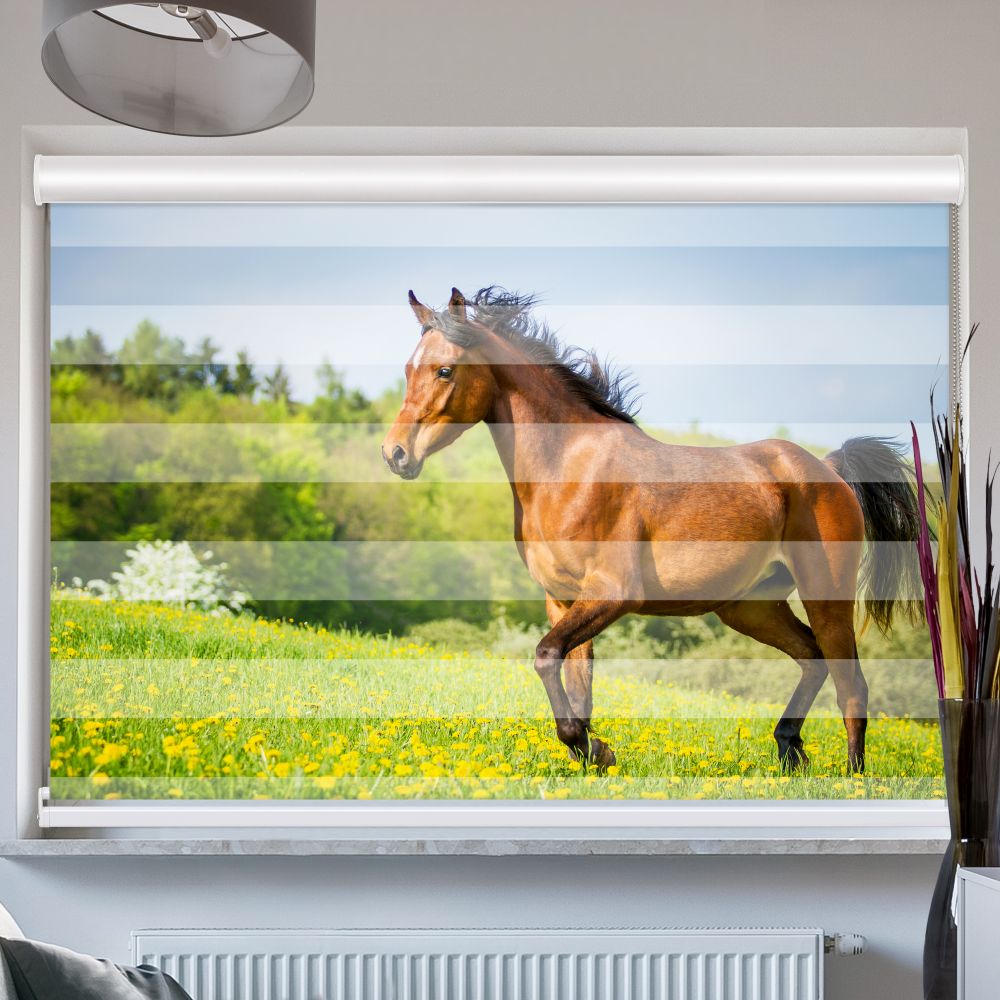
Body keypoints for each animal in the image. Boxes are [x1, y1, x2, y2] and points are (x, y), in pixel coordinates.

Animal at [381, 286, 922, 774]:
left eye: (445, 369)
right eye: (407, 369)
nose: (395, 454)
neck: (568, 468)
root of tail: (828, 470)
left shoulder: (612, 593)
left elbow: (545, 656)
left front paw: (594, 749)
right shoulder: (563, 599)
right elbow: (575, 684)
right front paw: (594, 755)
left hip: (825, 596)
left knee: (852, 686)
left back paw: (851, 776)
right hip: (751, 607)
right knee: (812, 659)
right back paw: (790, 750)